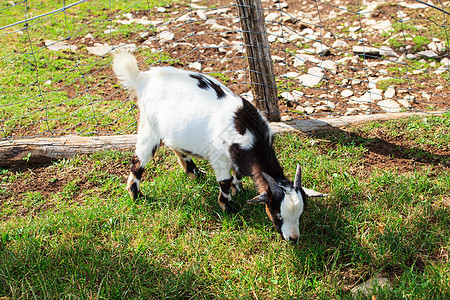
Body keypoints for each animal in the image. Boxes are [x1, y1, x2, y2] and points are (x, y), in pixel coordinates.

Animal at [112, 52, 316, 244]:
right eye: (277, 214)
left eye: (301, 213)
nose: (293, 238)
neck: (251, 134)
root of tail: (143, 78)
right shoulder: (220, 159)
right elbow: (225, 181)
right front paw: (228, 207)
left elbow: (237, 175)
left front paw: (238, 189)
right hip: (149, 127)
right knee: (138, 161)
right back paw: (136, 194)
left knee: (176, 147)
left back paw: (194, 172)